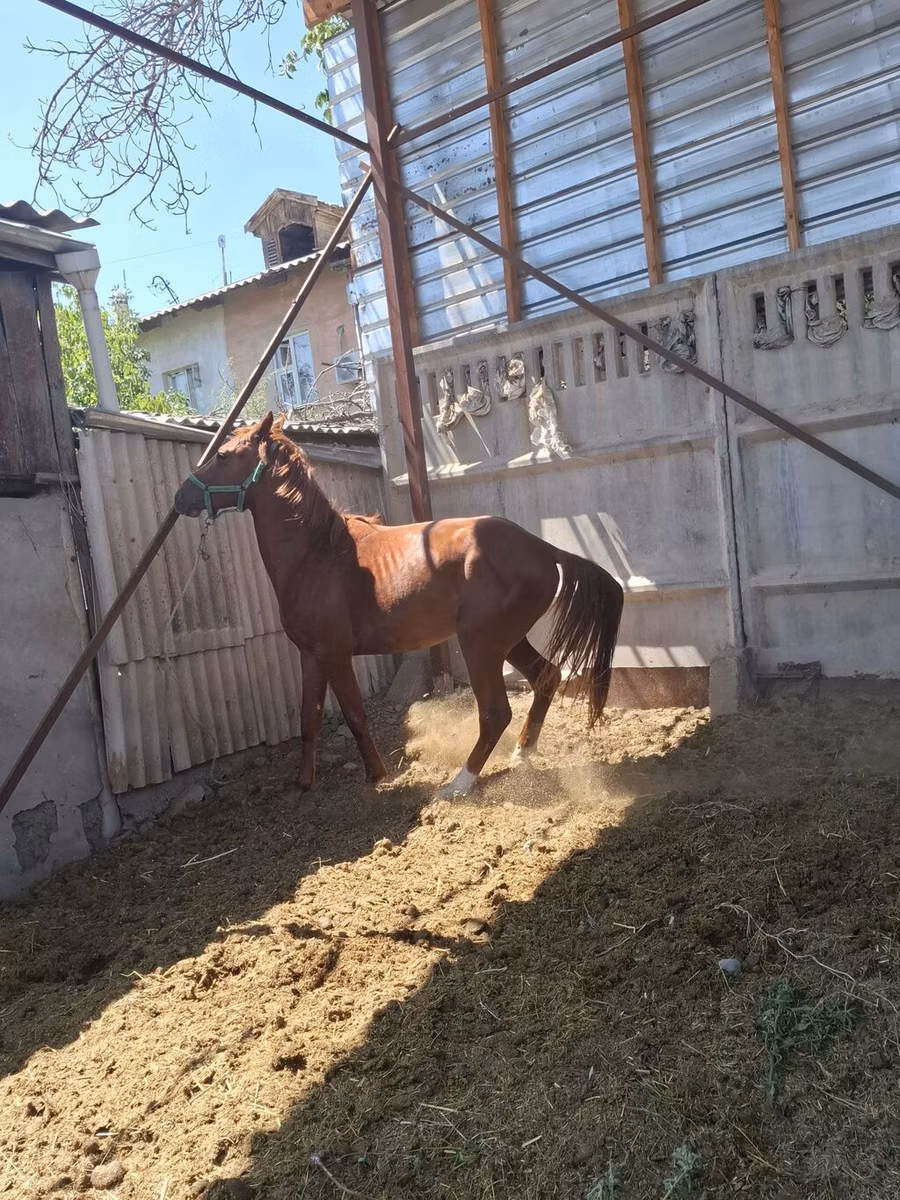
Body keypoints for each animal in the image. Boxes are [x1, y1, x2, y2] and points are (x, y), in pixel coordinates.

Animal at [174, 412, 624, 797]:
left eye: (223, 455)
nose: (181, 498)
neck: (318, 554)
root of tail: (542, 548)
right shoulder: (310, 654)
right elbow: (308, 718)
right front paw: (303, 782)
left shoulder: (335, 653)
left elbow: (355, 714)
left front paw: (378, 775)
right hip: (508, 641)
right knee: (546, 677)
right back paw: (522, 753)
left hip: (481, 645)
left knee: (496, 712)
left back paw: (458, 785)